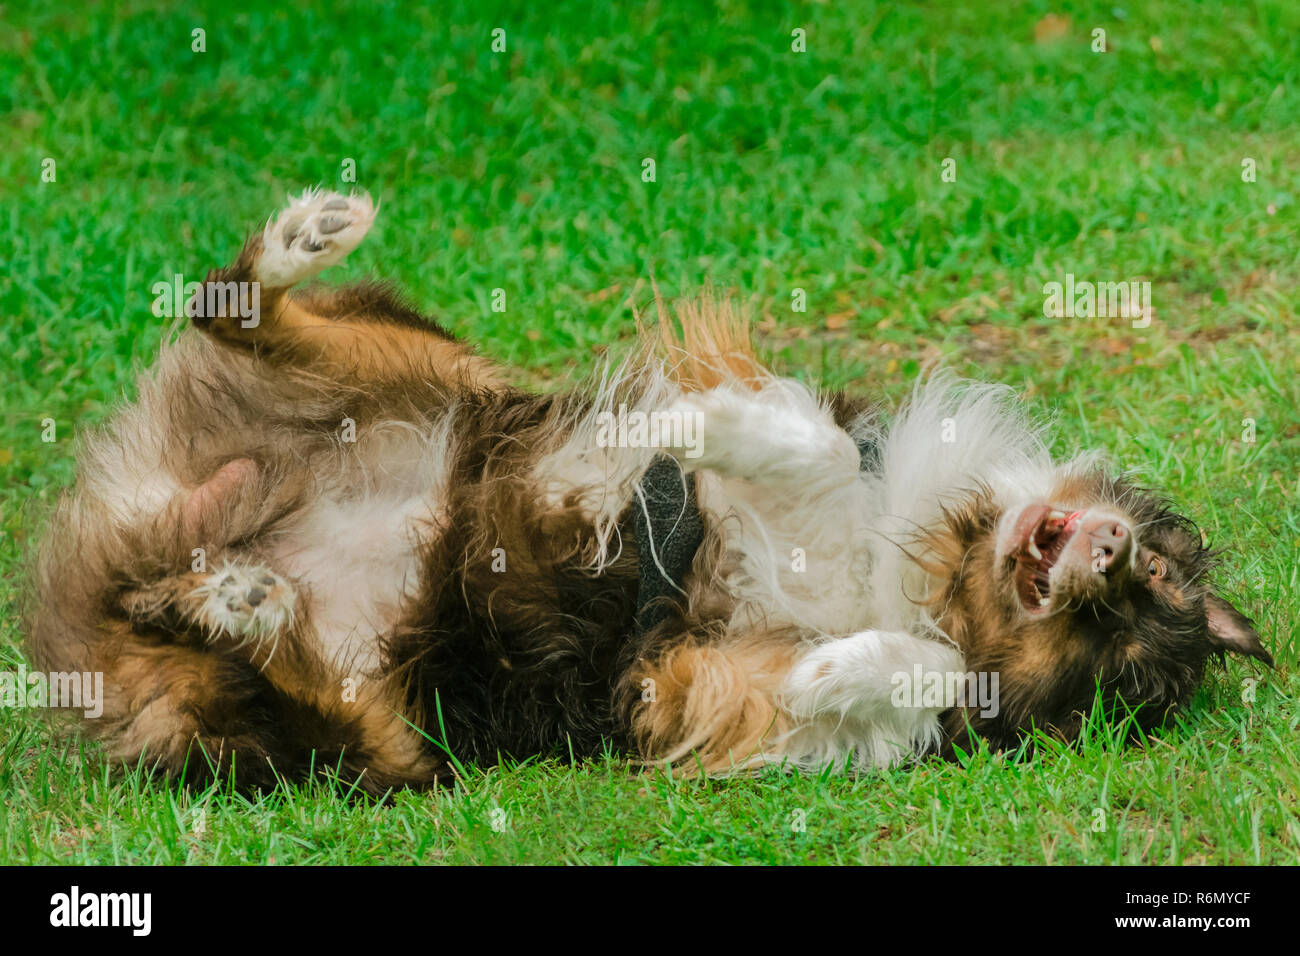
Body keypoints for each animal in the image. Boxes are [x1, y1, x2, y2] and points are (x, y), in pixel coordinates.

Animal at [25, 191, 1274, 796]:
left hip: (373, 743)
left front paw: (850, 665)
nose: (1108, 552)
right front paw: (685, 426)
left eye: (1124, 649)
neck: (924, 569)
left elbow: (916, 674)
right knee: (234, 305)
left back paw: (243, 605)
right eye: (1156, 566)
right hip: (440, 371)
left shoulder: (679, 682)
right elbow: (806, 447)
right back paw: (301, 241)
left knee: (292, 690)